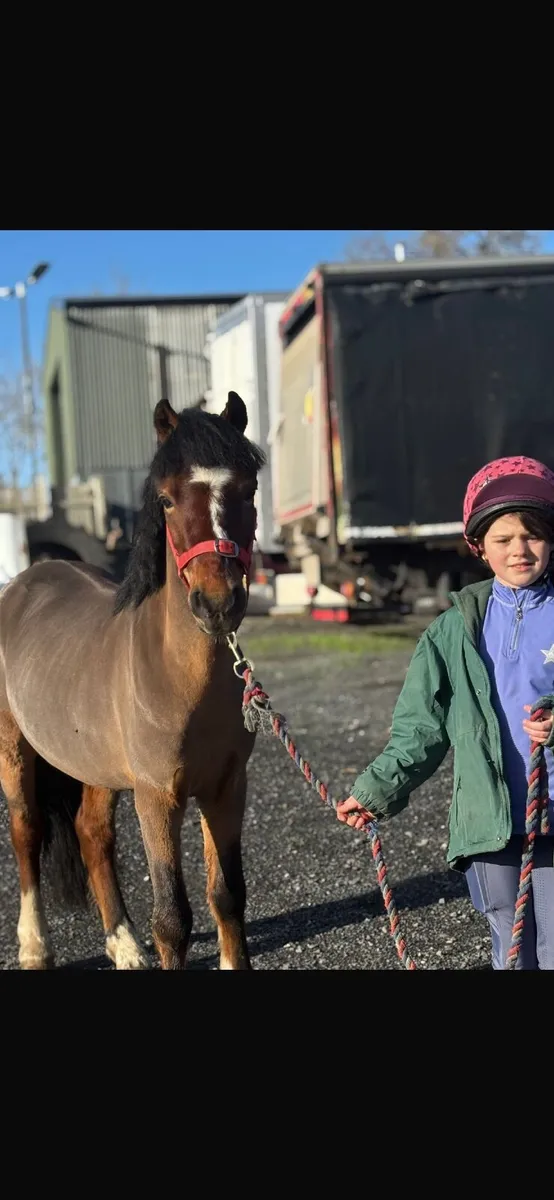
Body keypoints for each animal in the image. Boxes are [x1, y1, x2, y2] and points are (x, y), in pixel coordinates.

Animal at [0, 391, 265, 969]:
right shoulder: (156, 797)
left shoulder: (226, 788)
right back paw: (34, 947)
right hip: (14, 751)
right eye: (165, 500)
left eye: (249, 489)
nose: (217, 604)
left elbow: (227, 895)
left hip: (92, 762)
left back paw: (123, 946)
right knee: (26, 832)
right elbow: (172, 918)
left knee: (91, 834)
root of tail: (25, 580)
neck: (177, 678)